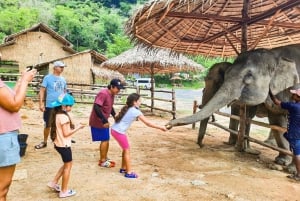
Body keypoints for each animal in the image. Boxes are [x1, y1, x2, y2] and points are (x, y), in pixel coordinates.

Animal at [166, 44, 300, 166]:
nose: (168, 125)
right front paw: (280, 162)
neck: (274, 55)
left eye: (249, 76)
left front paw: (285, 166)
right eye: (226, 77)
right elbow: (274, 117)